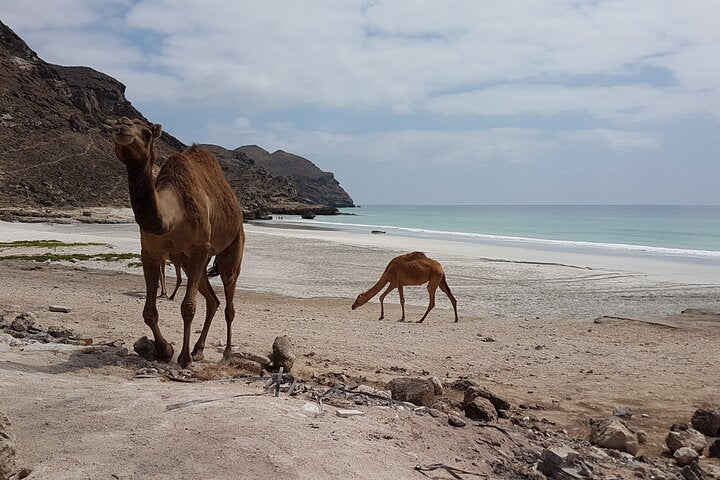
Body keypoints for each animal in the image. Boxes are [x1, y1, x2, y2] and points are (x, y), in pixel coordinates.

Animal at [108, 116, 245, 368]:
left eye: (147, 133)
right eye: (114, 126)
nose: (123, 127)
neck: (173, 217)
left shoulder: (199, 249)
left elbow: (188, 308)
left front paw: (184, 357)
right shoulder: (150, 252)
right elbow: (149, 311)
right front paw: (165, 350)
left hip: (232, 244)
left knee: (229, 300)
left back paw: (227, 353)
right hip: (194, 265)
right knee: (213, 301)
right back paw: (199, 349)